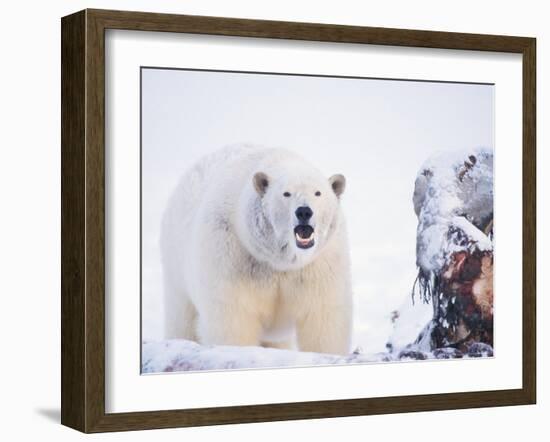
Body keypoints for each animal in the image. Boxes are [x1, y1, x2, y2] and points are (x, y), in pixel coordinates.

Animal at [160, 145, 354, 356]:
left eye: (318, 193)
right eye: (286, 193)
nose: (304, 211)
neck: (278, 262)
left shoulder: (319, 266)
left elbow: (323, 319)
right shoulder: (231, 254)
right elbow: (233, 318)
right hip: (176, 263)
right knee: (182, 317)